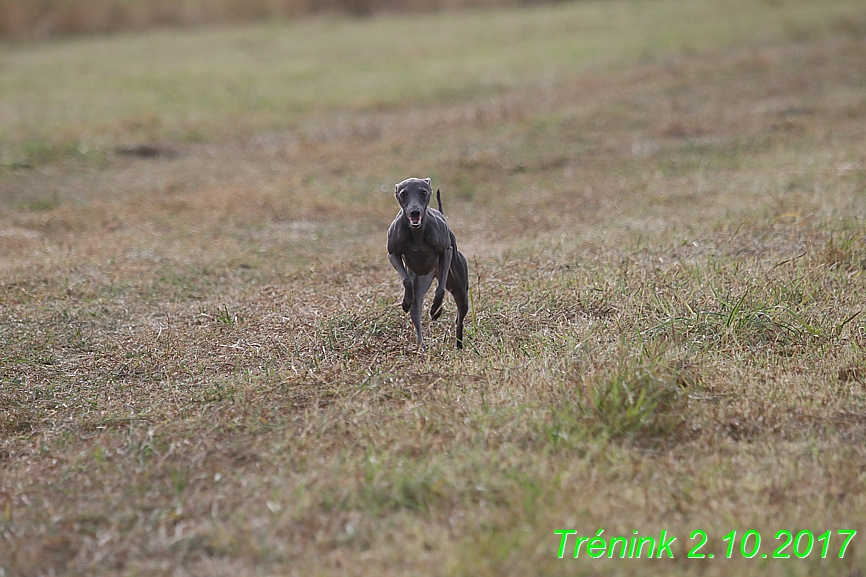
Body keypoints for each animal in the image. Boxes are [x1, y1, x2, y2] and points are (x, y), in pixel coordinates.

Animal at [384, 177, 466, 346]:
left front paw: (435, 309)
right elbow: (407, 280)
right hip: (420, 287)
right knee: (416, 315)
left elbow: (440, 289)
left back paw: (458, 344)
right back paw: (421, 346)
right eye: (403, 193)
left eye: (423, 192)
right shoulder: (393, 254)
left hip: (460, 288)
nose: (414, 212)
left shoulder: (446, 252)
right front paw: (406, 301)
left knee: (459, 318)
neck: (417, 233)